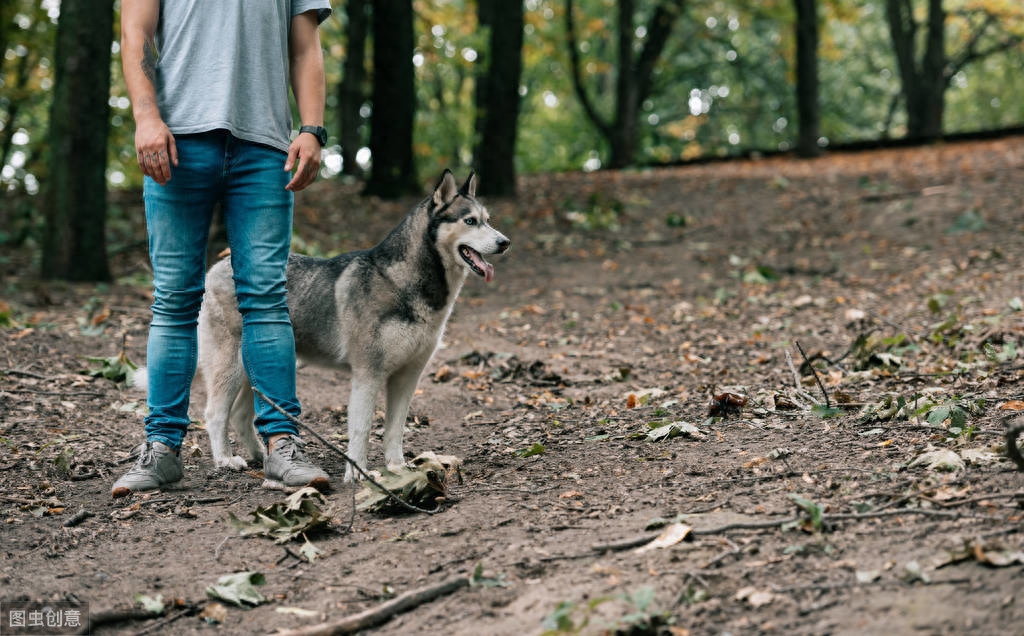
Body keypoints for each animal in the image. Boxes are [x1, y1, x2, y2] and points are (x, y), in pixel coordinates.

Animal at [195, 171, 507, 479]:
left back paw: (262, 456)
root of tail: (221, 264)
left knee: (240, 415)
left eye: (487, 219)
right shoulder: (368, 374)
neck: (401, 282)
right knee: (215, 414)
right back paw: (225, 459)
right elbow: (362, 428)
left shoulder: (408, 376)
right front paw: (358, 474)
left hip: (259, 367)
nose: (505, 242)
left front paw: (397, 467)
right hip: (231, 367)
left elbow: (395, 429)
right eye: (470, 221)